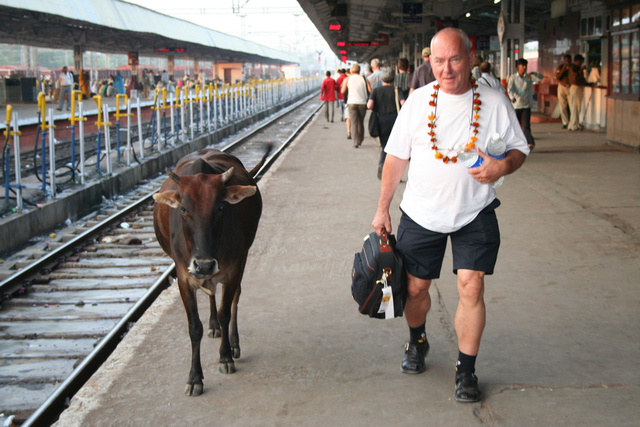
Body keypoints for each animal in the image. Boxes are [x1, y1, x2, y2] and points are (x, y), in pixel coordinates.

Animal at [154, 149, 264, 396]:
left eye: (220, 207)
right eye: (183, 209)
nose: (203, 265)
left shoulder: (232, 270)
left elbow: (226, 312)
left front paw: (225, 357)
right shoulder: (183, 278)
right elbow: (195, 327)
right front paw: (194, 378)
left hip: (242, 259)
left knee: (234, 300)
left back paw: (234, 343)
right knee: (212, 294)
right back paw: (213, 325)